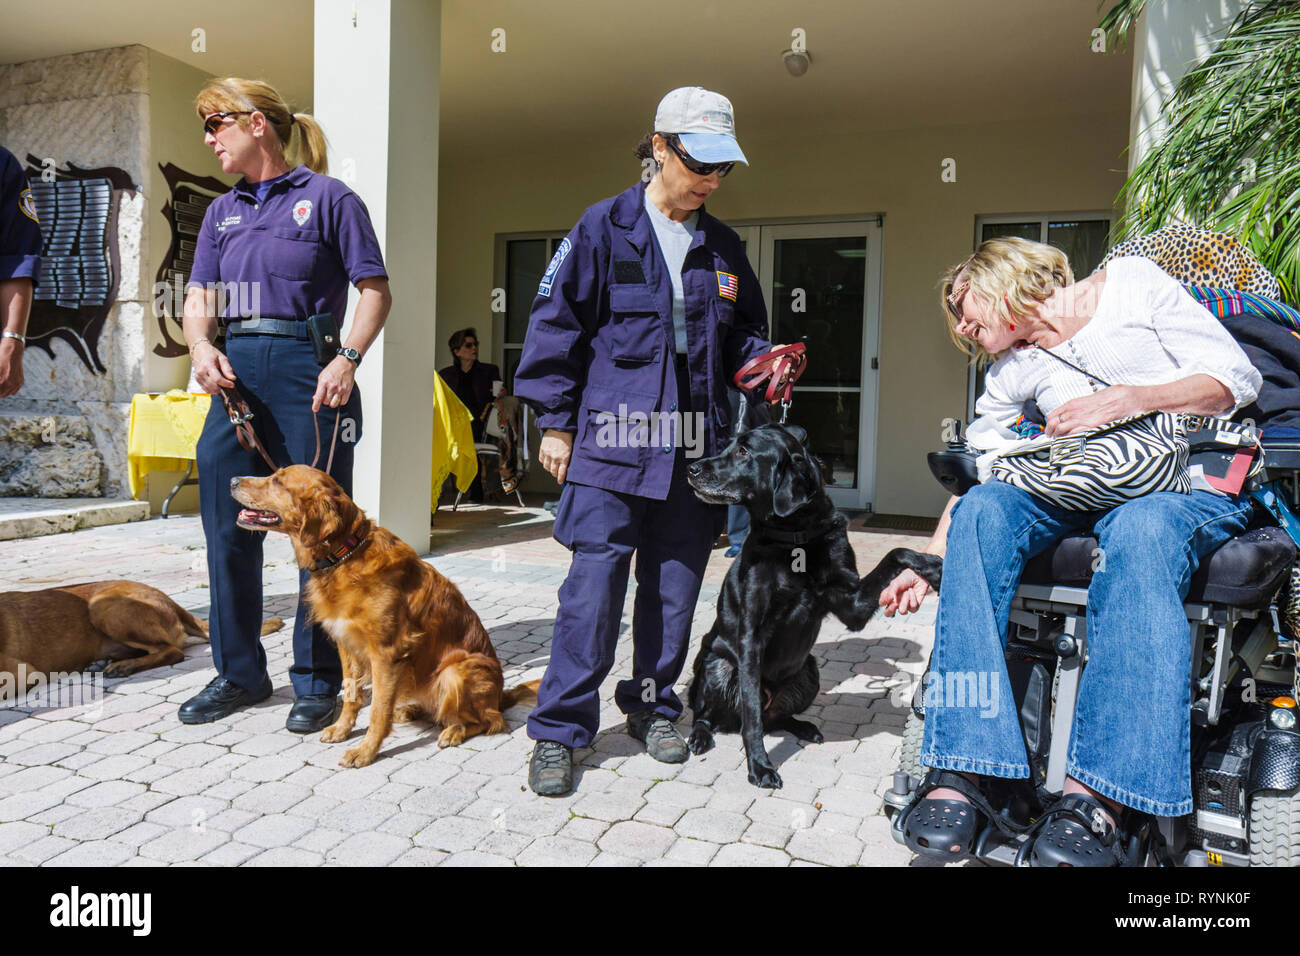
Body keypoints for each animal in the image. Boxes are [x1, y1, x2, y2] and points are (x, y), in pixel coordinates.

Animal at [0, 580, 282, 686]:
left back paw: (122, 666)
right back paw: (106, 662)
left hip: (104, 606)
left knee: (172, 651)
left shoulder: (22, 673)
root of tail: (169, 600)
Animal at [231, 465, 540, 770]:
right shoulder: (347, 645)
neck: (345, 555)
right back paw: (412, 710)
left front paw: (366, 751)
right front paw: (342, 729)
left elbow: (378, 709)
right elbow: (352, 694)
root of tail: (500, 695)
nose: (232, 480)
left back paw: (454, 730)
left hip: (457, 671)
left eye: (278, 481)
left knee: (490, 720)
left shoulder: (387, 653)